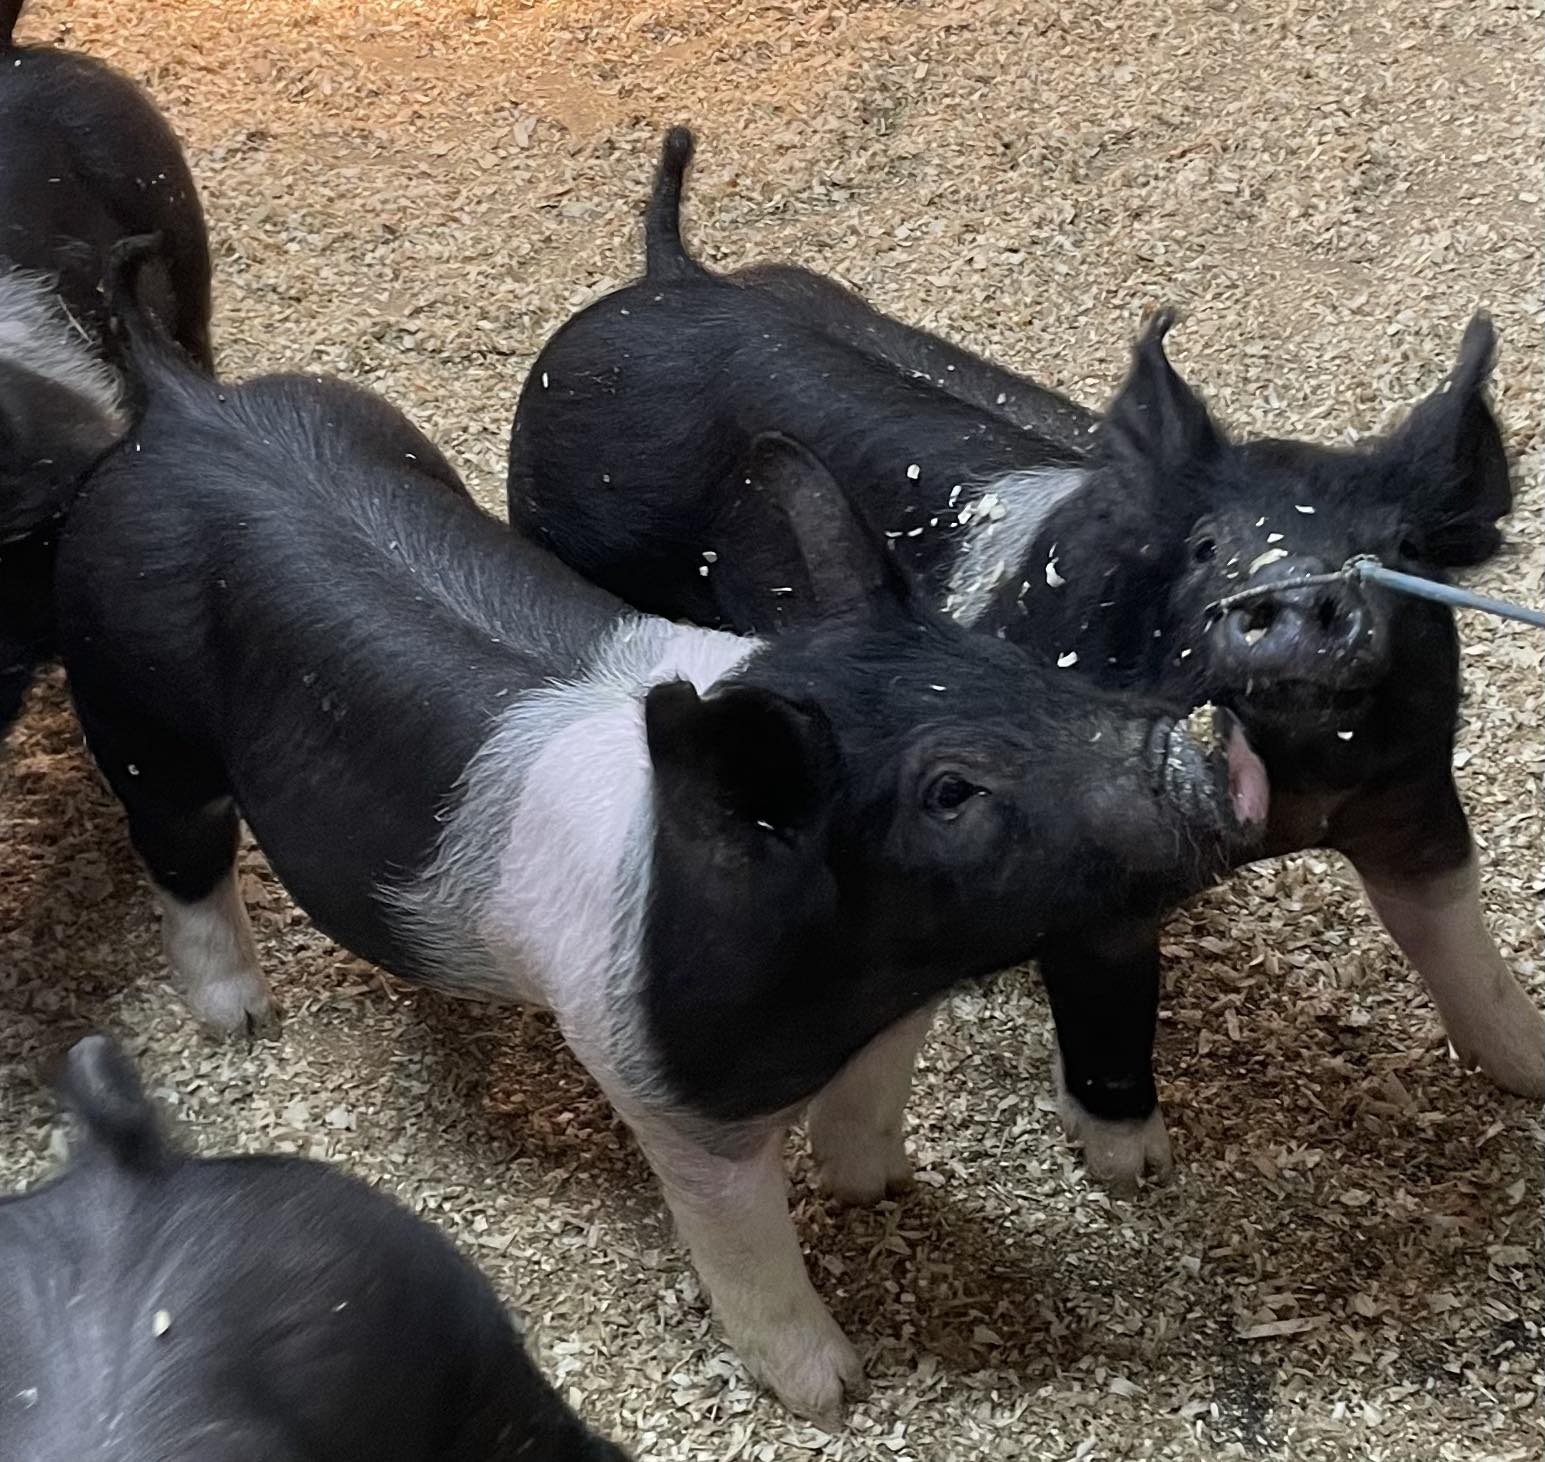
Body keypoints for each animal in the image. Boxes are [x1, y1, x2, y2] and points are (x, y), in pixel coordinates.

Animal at [54, 237, 1266, 1416]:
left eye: (1015, 671)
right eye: (951, 791)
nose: (1191, 761)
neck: (860, 981)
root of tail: (184, 404)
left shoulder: (889, 1022)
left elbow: (871, 1109)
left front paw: (882, 1187)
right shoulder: (665, 1088)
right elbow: (745, 1244)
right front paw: (829, 1390)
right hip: (134, 711)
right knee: (183, 857)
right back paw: (239, 1021)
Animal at [506, 127, 1545, 1192]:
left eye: (1403, 550)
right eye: (1206, 545)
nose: (1294, 595)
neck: (1297, 788)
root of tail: (665, 275)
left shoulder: (1411, 792)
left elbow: (1458, 938)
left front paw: (1533, 1068)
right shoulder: (1099, 872)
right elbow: (1109, 1009)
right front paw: (1131, 1169)